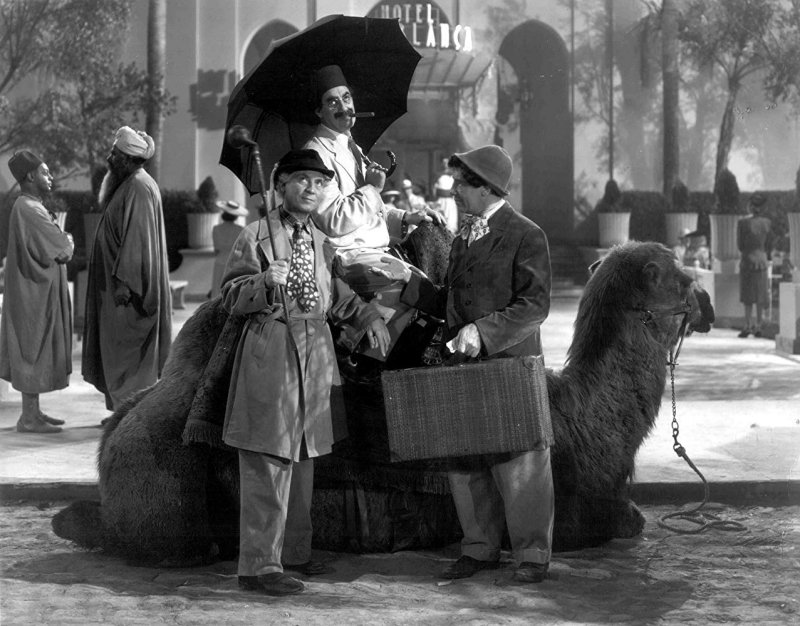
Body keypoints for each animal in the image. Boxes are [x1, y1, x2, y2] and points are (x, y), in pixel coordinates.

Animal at [52, 225, 714, 565]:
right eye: (680, 277)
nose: (706, 304)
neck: (581, 421)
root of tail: (110, 445)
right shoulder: (575, 510)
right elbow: (623, 521)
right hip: (166, 480)